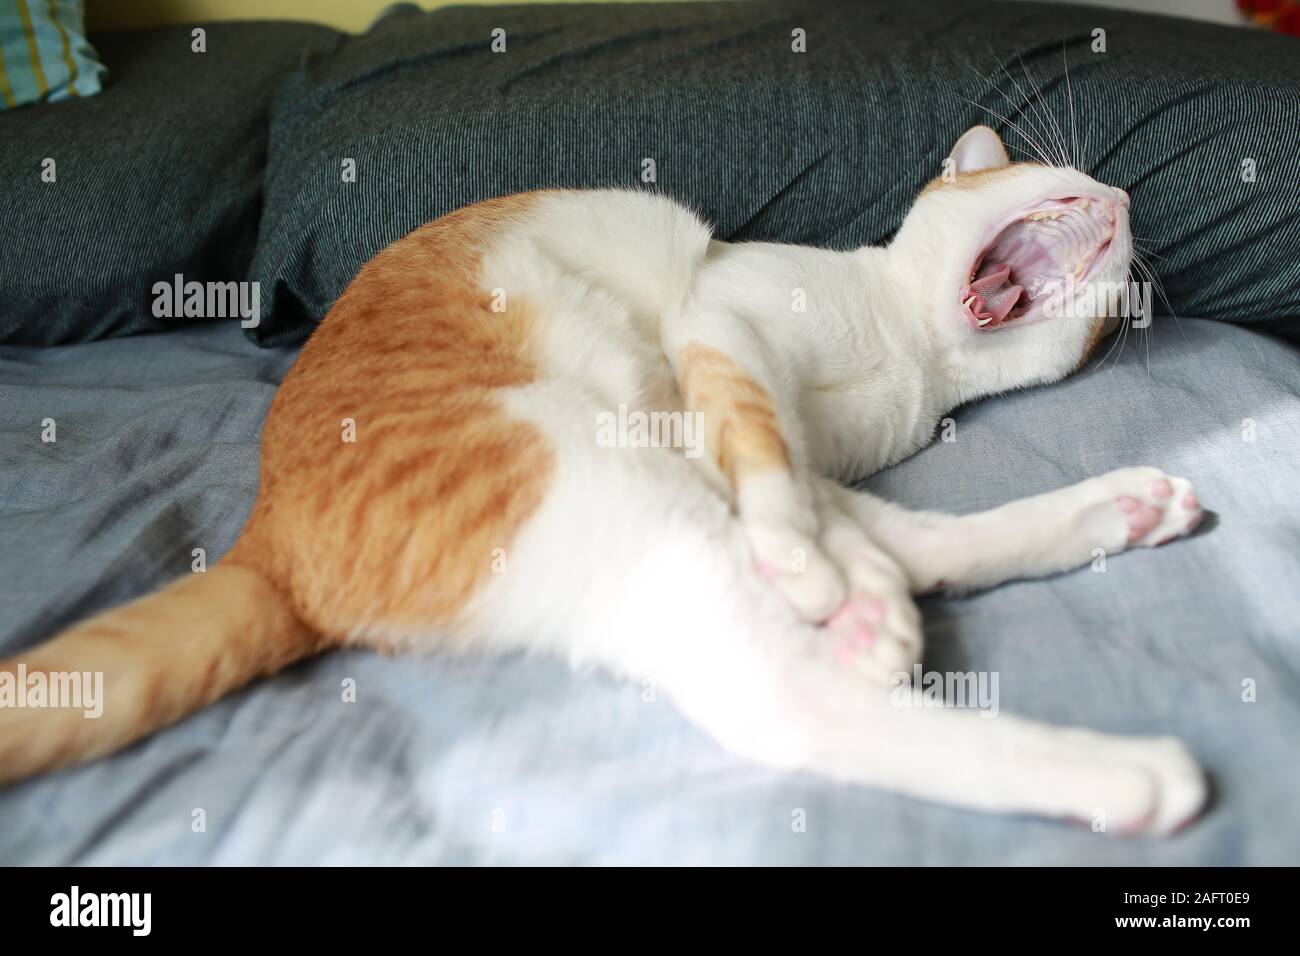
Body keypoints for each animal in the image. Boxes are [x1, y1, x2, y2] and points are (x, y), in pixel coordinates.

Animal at [0, 128, 1206, 837]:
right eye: (1064, 177)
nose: (1120, 192)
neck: (917, 352)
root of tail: (270, 539)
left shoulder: (790, 436)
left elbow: (799, 482)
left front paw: (849, 585)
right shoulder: (723, 331)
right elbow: (772, 463)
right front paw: (821, 570)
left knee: (915, 551)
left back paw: (1105, 514)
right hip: (601, 473)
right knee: (790, 696)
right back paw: (1124, 770)